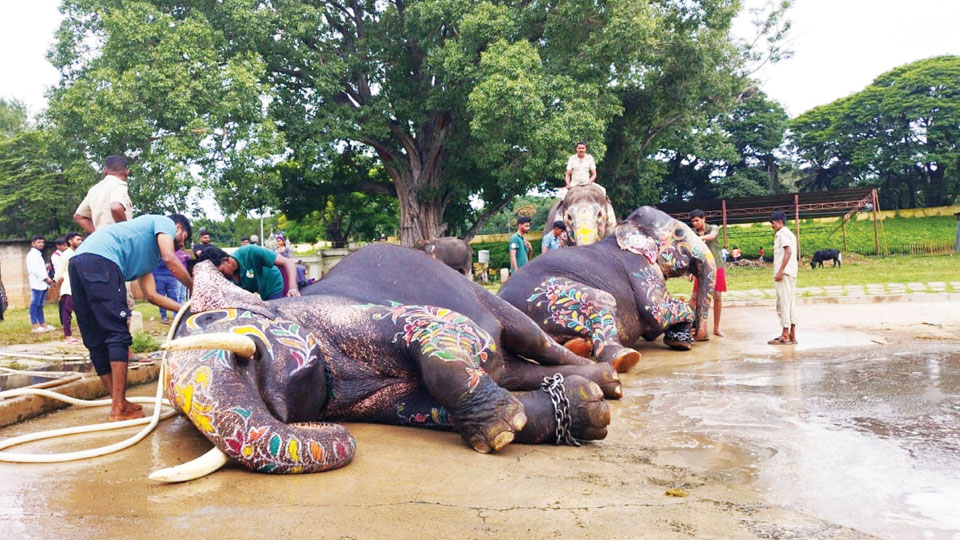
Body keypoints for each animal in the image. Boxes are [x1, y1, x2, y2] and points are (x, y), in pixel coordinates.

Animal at [157, 244, 616, 476]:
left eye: (213, 320)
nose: (315, 425)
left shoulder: (351, 316)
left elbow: (442, 326)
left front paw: (503, 424)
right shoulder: (367, 400)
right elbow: (421, 409)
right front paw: (579, 410)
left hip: (487, 296)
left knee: (533, 339)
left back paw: (613, 375)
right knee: (517, 368)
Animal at [498, 205, 716, 370]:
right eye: (679, 233)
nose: (700, 334)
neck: (626, 228)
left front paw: (679, 339)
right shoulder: (639, 267)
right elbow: (657, 311)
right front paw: (683, 341)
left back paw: (580, 346)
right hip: (544, 294)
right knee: (602, 299)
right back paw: (625, 358)